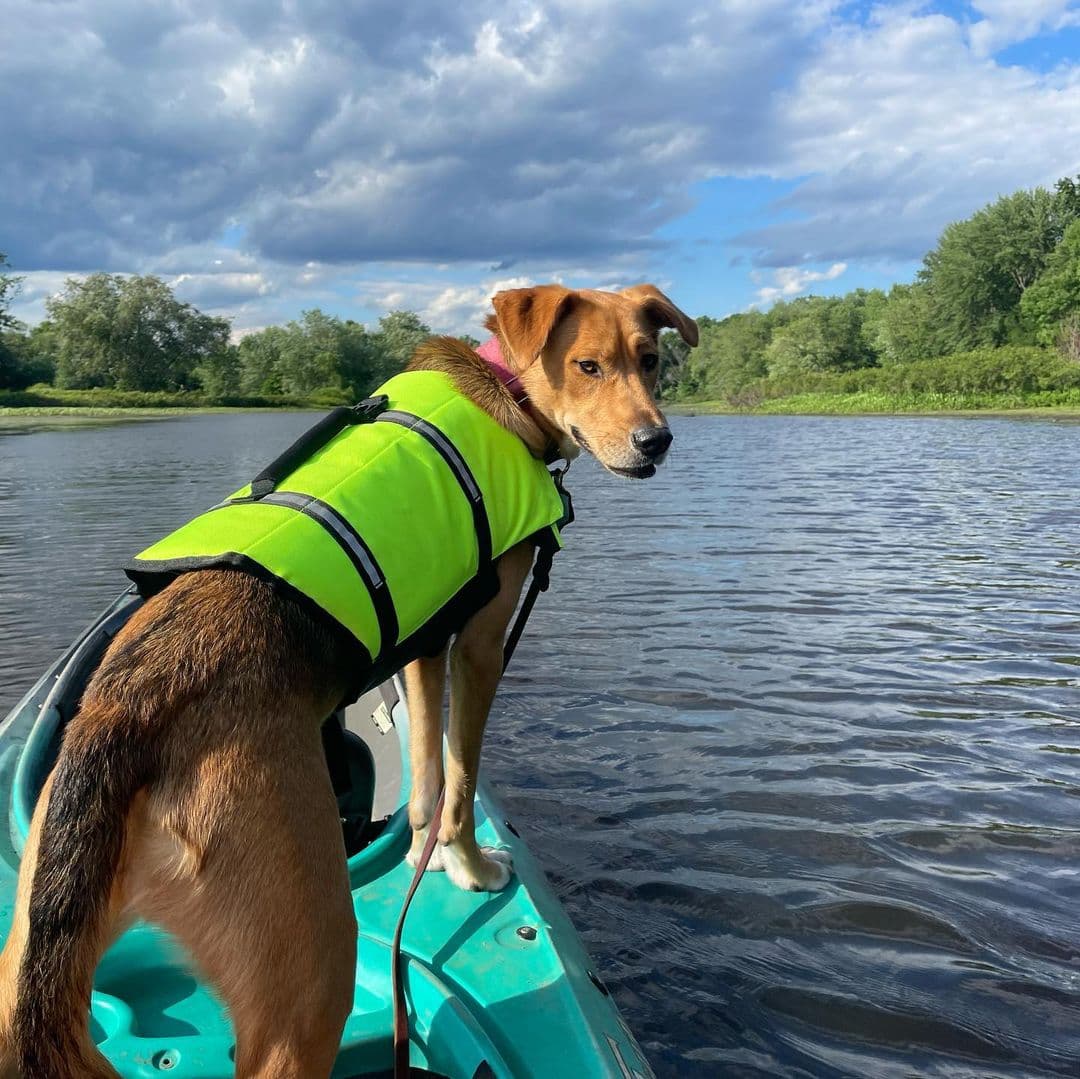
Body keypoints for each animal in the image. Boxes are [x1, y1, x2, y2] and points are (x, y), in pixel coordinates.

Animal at [0, 282, 695, 1075]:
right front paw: (472, 868)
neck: (505, 390)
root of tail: (128, 713)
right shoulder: (478, 646)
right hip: (309, 977)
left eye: (650, 360)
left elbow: (426, 782)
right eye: (587, 365)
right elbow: (460, 778)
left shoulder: (425, 649)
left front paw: (430, 859)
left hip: (24, 960)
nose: (657, 441)